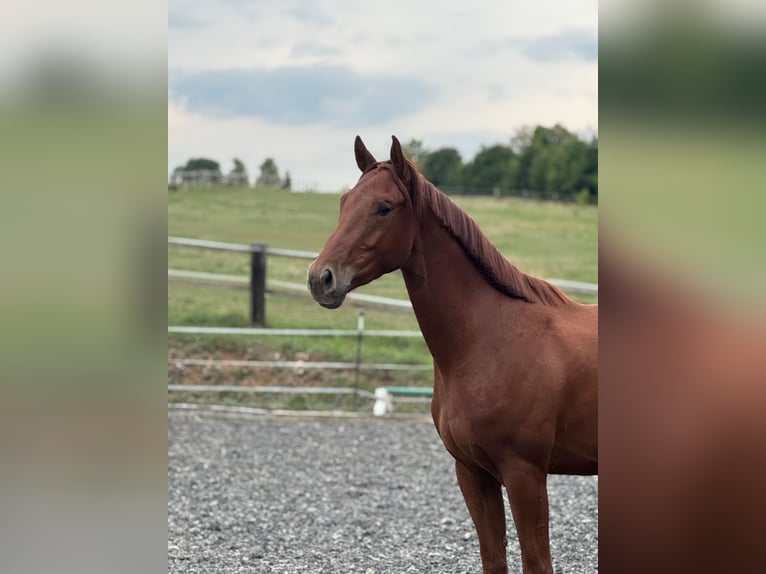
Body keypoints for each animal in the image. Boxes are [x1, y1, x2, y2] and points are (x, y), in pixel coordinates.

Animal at [307, 136, 598, 574]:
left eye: (383, 207)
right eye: (344, 202)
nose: (320, 278)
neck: (487, 341)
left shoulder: (525, 475)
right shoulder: (473, 473)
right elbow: (493, 558)